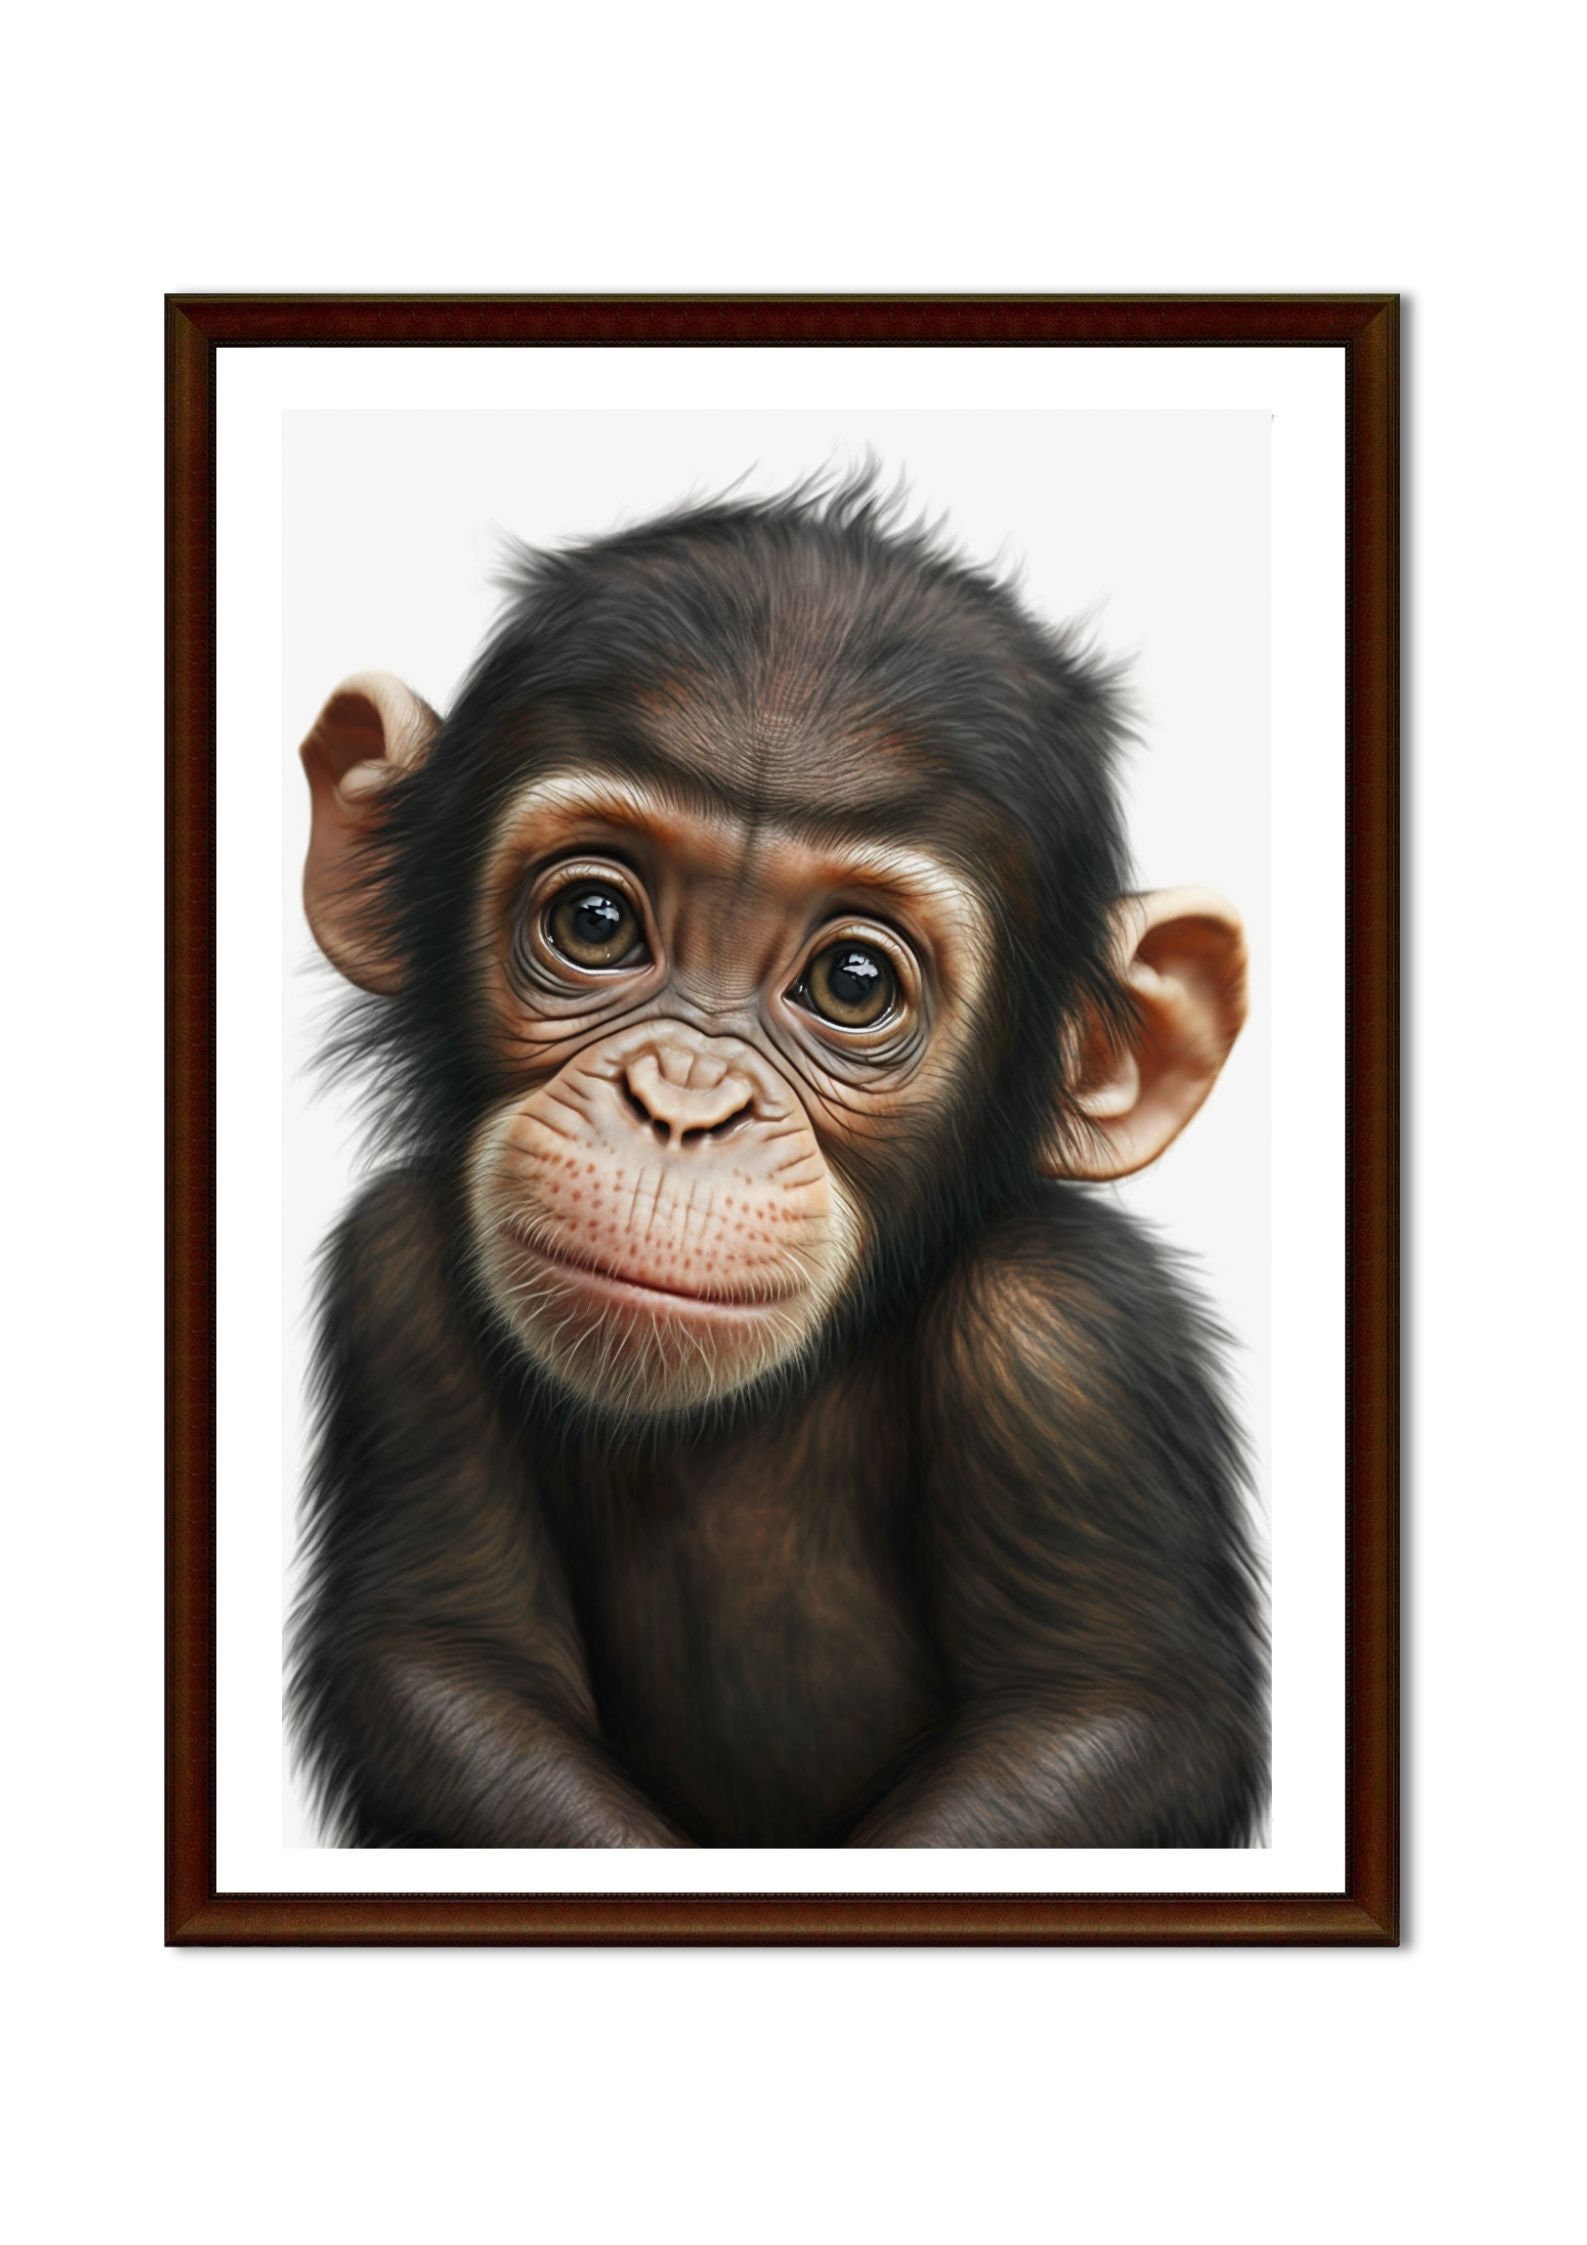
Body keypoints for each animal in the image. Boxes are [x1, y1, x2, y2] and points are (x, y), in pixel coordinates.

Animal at [288, 474, 1268, 1848]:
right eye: (596, 919)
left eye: (851, 981)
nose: (682, 1105)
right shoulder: (393, 1277)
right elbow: (446, 1658)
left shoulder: (1070, 1338)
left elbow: (1111, 1709)